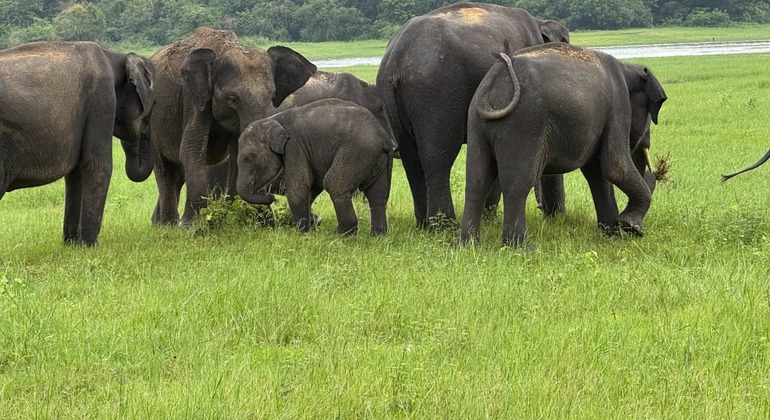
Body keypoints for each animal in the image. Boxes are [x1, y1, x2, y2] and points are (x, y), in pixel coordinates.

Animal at [0, 41, 155, 246]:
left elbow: (76, 173)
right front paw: (92, 246)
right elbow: (97, 165)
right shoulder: (101, 98)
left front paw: (72, 245)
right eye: (153, 106)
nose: (135, 138)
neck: (114, 56)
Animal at [147, 27, 317, 227]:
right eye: (233, 99)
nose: (271, 198)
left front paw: (244, 218)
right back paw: (168, 225)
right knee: (165, 170)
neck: (224, 48)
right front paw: (193, 225)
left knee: (177, 175)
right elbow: (191, 149)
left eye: (272, 96)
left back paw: (158, 223)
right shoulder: (193, 98)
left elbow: (236, 152)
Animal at [236, 99, 394, 235]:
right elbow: (313, 186)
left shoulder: (294, 147)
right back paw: (377, 236)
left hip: (356, 152)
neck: (273, 119)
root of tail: (384, 138)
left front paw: (301, 234)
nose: (271, 197)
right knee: (377, 195)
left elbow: (299, 187)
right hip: (377, 158)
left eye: (248, 159)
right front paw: (310, 229)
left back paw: (340, 235)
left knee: (334, 185)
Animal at [377, 2, 569, 228]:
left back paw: (424, 225)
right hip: (435, 92)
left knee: (411, 158)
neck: (539, 23)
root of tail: (395, 60)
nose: (550, 214)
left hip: (398, 101)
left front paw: (489, 219)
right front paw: (490, 220)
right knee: (437, 157)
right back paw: (445, 227)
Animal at [460, 43, 667, 248]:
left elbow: (597, 173)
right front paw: (631, 228)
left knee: (476, 181)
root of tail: (496, 77)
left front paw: (612, 235)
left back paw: (469, 245)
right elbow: (614, 167)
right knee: (517, 183)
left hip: (477, 121)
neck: (628, 67)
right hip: (524, 124)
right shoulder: (618, 106)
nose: (654, 171)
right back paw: (523, 248)